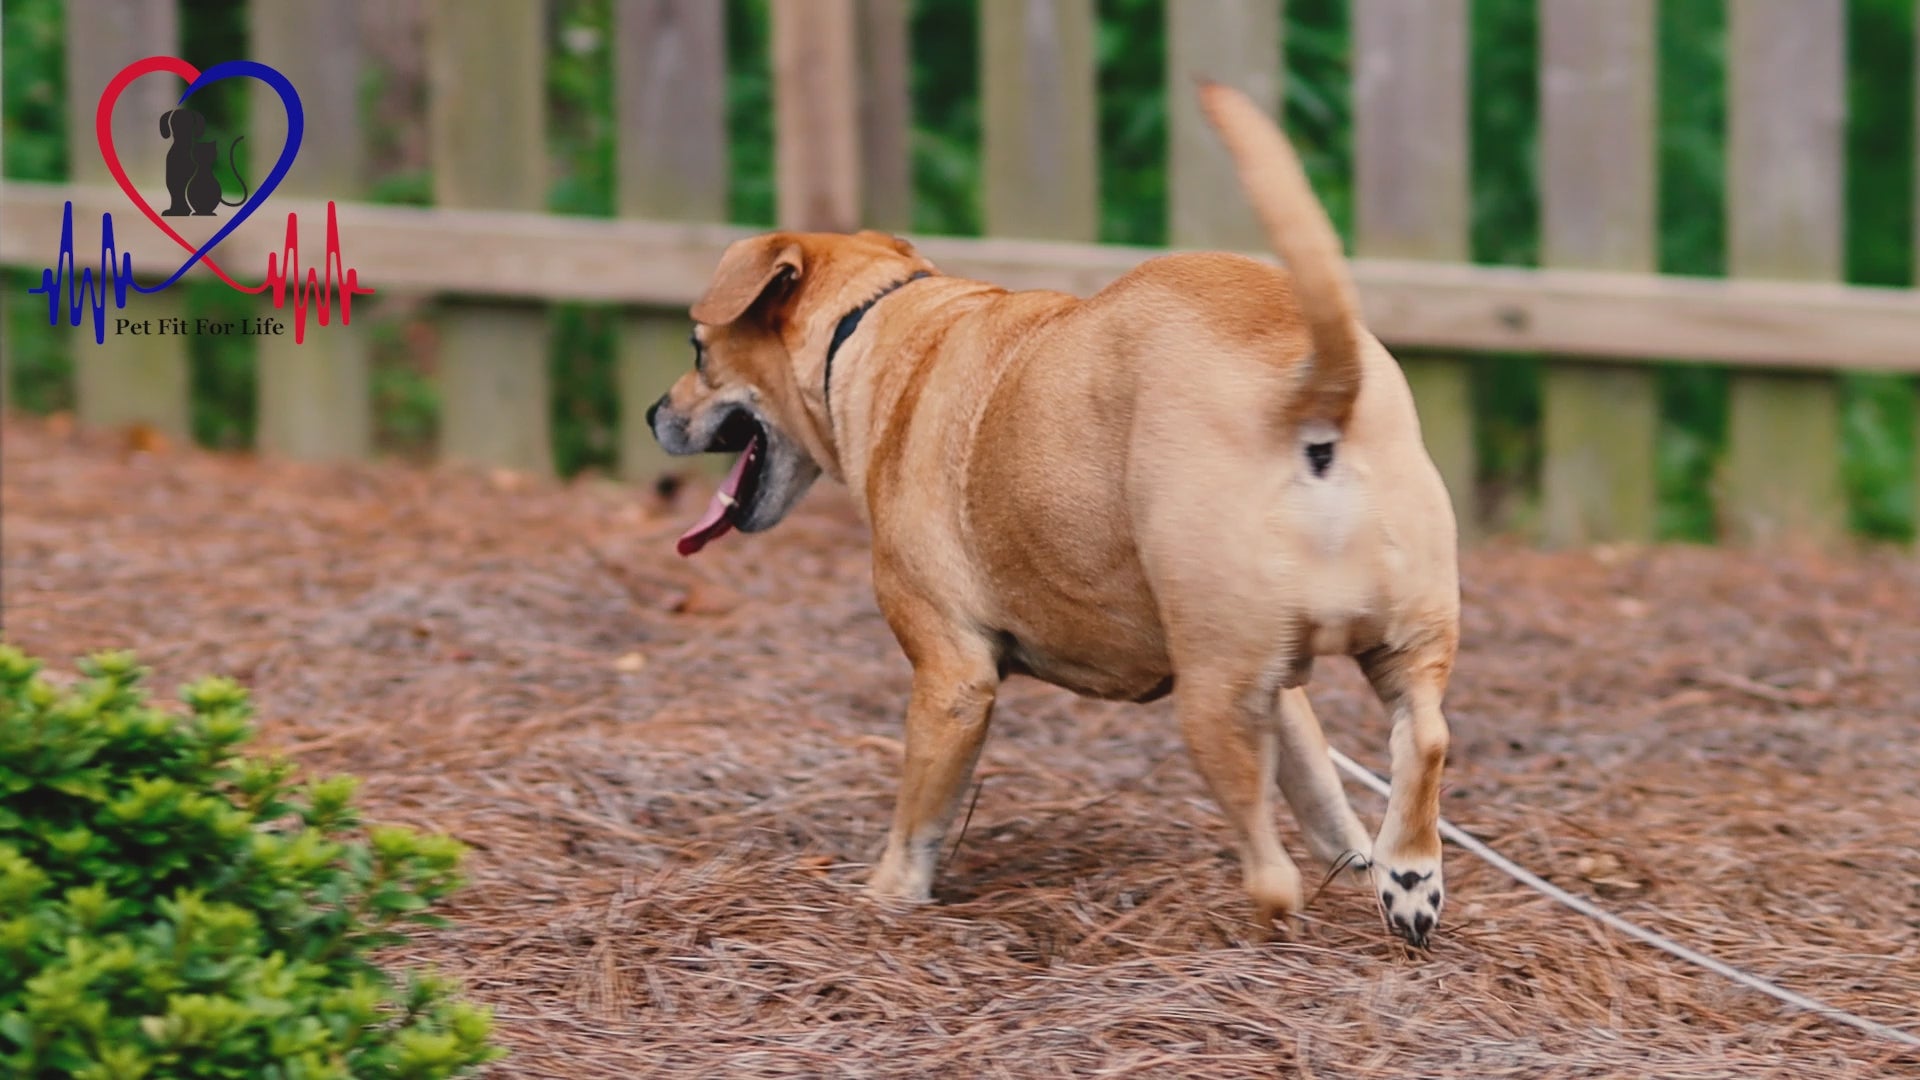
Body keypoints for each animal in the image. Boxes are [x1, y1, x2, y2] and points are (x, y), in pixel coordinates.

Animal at [645, 84, 1451, 941]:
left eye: (697, 349)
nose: (654, 413)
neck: (874, 328)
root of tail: (1309, 385)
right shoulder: (1282, 691)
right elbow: (1323, 795)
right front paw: (1362, 863)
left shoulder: (952, 677)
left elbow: (918, 817)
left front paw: (887, 897)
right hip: (1401, 636)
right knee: (1426, 732)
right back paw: (1410, 874)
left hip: (1211, 693)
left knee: (1271, 872)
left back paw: (1269, 911)